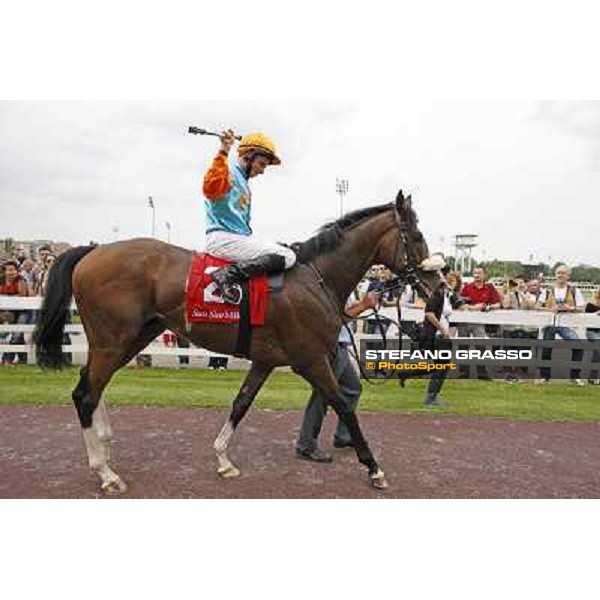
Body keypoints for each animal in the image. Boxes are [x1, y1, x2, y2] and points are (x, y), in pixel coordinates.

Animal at [35, 190, 442, 494]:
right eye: (417, 237)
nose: (438, 285)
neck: (315, 279)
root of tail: (94, 250)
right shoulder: (311, 361)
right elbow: (343, 405)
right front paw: (374, 469)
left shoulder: (265, 360)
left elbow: (241, 404)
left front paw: (223, 459)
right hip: (113, 342)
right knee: (85, 394)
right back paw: (105, 472)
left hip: (130, 339)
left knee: (92, 387)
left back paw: (105, 449)